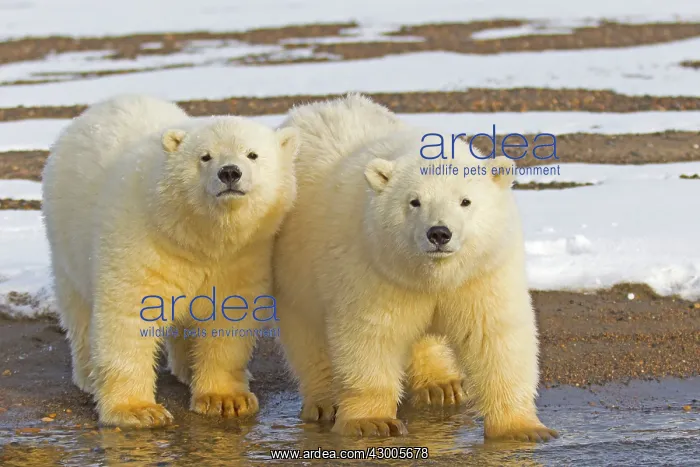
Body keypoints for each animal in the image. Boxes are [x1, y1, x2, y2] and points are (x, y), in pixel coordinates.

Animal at [42, 94, 299, 428]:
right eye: (205, 157)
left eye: (252, 154)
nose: (230, 172)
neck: (197, 236)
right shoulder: (142, 241)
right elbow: (129, 314)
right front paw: (137, 410)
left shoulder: (243, 254)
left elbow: (227, 313)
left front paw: (225, 399)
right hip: (65, 240)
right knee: (79, 311)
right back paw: (88, 376)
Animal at [273, 94, 557, 441]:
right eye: (414, 201)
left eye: (465, 201)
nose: (439, 233)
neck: (431, 274)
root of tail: (312, 108)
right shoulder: (374, 268)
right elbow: (371, 336)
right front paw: (371, 422)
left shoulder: (482, 271)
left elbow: (494, 335)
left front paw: (524, 429)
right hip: (294, 264)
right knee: (306, 334)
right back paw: (325, 401)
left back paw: (441, 385)